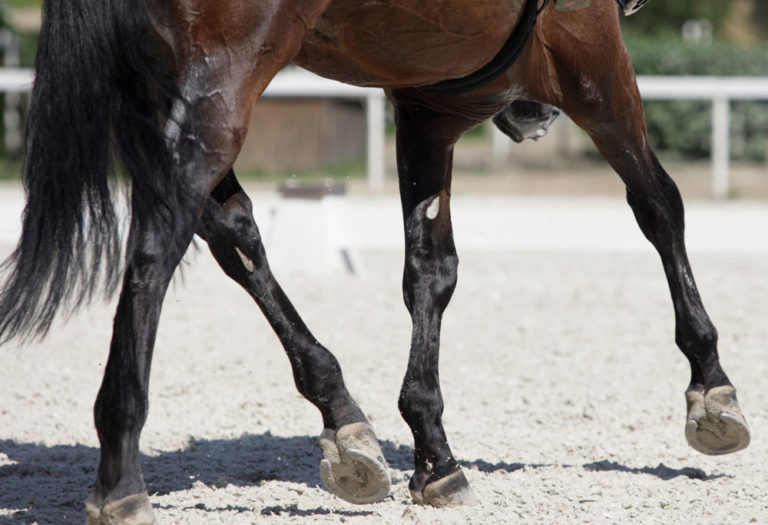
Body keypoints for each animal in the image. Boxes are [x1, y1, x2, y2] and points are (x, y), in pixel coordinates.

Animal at [0, 0, 751, 522]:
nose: (533, 118)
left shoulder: (430, 105)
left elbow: (430, 270)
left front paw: (432, 451)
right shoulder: (586, 43)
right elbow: (658, 204)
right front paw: (711, 386)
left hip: (164, 84)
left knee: (234, 234)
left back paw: (342, 417)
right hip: (222, 81)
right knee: (160, 240)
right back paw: (120, 470)